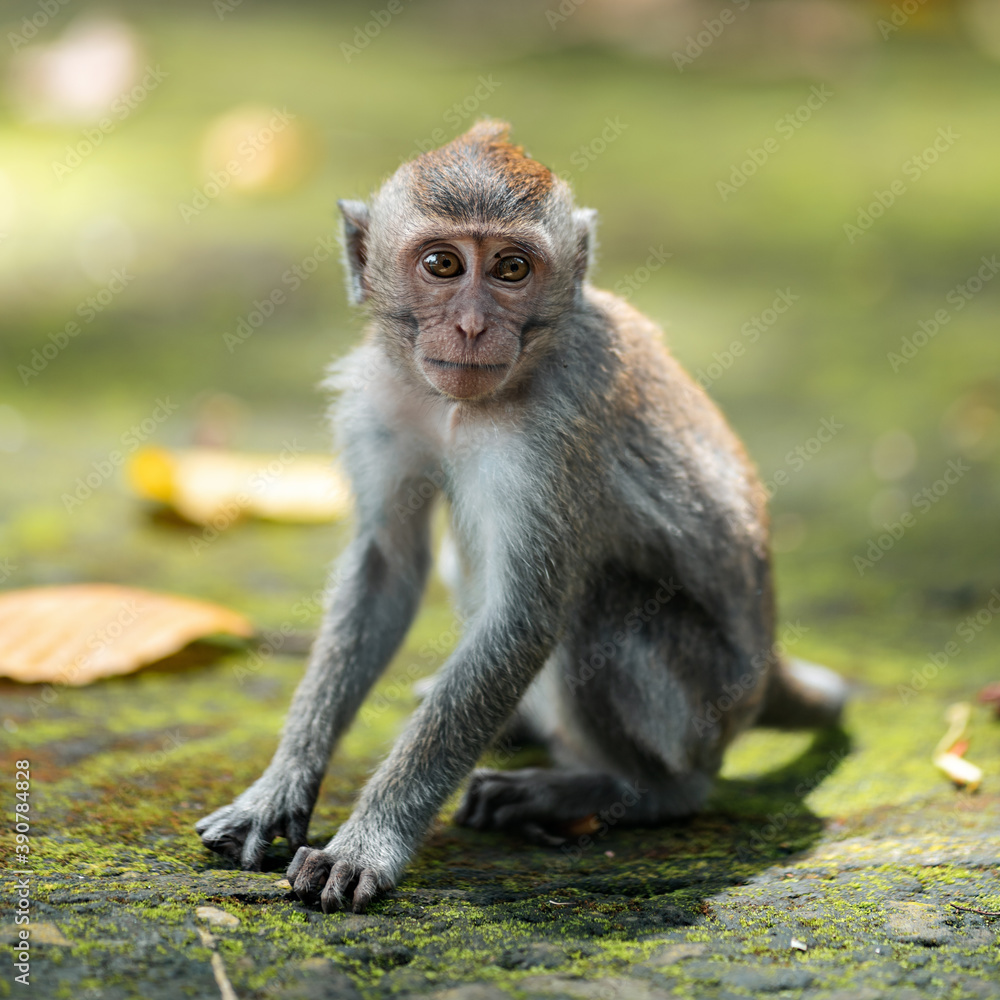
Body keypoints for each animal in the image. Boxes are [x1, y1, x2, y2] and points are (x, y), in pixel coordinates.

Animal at [193, 119, 844, 916]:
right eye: (442, 264)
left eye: (510, 269)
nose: (472, 326)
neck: (460, 406)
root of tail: (767, 671)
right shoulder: (379, 399)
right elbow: (386, 566)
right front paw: (279, 787)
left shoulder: (555, 433)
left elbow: (526, 617)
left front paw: (368, 842)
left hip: (704, 709)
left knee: (605, 609)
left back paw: (624, 791)